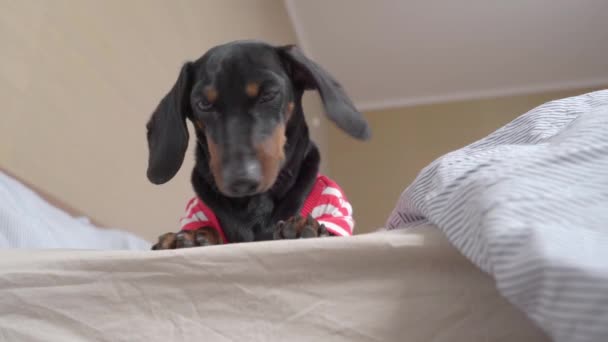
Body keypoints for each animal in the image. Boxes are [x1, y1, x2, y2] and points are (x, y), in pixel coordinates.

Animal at [148, 40, 370, 250]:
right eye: (203, 104)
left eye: (269, 94)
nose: (240, 180)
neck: (255, 202)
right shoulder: (197, 212)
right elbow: (205, 226)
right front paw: (192, 235)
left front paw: (305, 227)